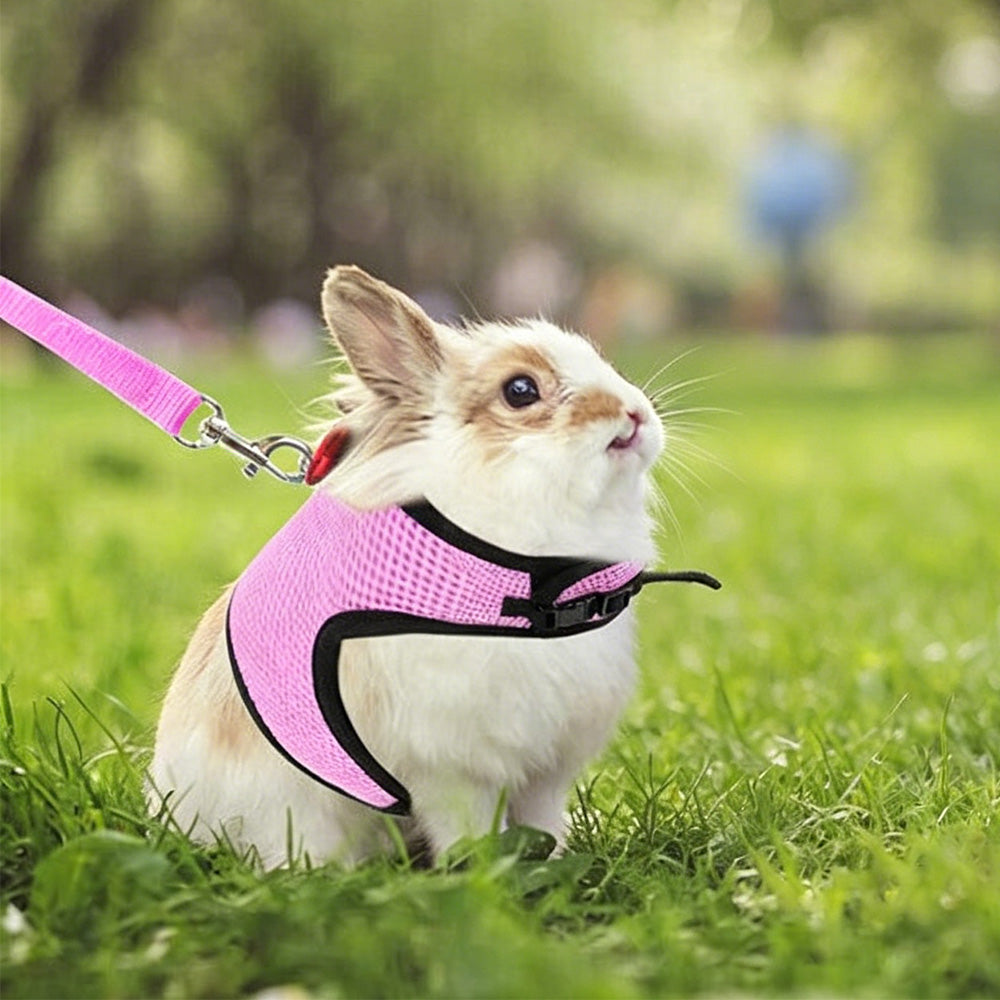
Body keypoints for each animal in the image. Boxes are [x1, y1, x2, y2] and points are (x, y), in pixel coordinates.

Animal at [149, 265, 664, 869]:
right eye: (520, 391)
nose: (634, 414)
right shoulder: (453, 767)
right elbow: (469, 826)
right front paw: (484, 870)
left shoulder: (548, 766)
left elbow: (541, 817)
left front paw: (556, 859)